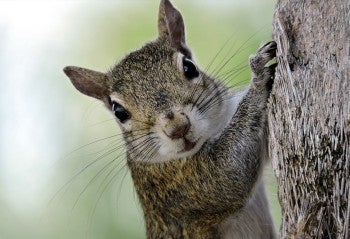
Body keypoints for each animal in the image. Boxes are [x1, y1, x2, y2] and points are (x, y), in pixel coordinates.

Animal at [62, 0, 276, 239]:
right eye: (118, 111)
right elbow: (229, 174)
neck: (214, 130)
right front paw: (258, 76)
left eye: (189, 67)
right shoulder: (180, 187)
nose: (178, 128)